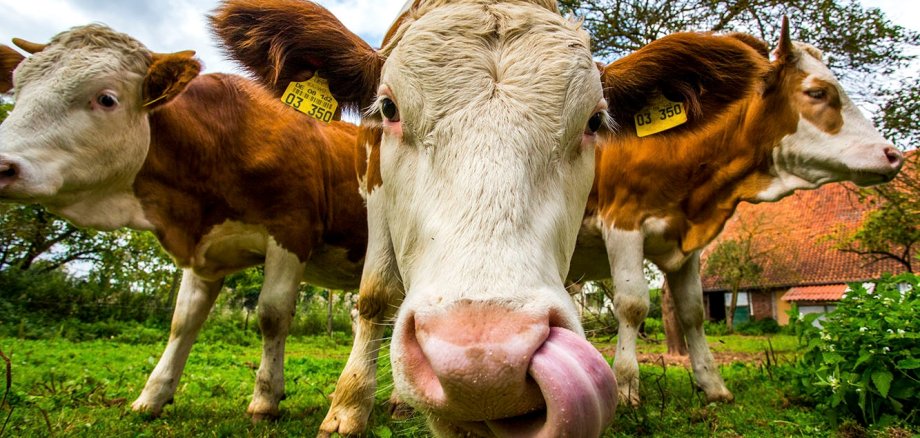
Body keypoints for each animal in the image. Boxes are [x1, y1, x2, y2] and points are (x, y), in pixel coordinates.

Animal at [0, 25, 366, 420]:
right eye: (17, 90)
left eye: (107, 99)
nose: (3, 166)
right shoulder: (205, 248)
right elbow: (183, 320)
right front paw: (152, 397)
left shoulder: (292, 230)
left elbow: (272, 314)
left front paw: (265, 398)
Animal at [212, 1, 788, 436]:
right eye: (389, 108)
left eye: (594, 121)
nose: (484, 365)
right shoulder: (371, 189)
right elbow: (374, 295)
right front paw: (348, 408)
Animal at [572, 18, 904, 406]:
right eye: (818, 93)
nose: (893, 155)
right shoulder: (623, 223)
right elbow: (632, 304)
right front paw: (626, 389)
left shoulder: (686, 242)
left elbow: (693, 311)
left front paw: (713, 385)